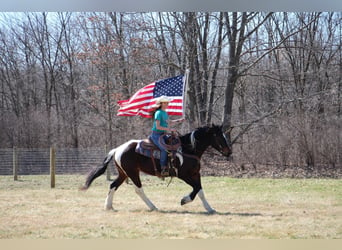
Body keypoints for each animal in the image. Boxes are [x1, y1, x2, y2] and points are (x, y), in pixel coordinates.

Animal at [81, 124, 232, 214]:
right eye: (219, 136)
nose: (229, 151)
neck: (188, 149)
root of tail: (117, 149)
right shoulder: (184, 175)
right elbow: (195, 189)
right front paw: (184, 200)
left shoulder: (196, 174)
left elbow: (200, 191)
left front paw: (209, 208)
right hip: (133, 173)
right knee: (138, 189)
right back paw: (153, 206)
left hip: (123, 173)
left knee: (113, 185)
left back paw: (108, 206)